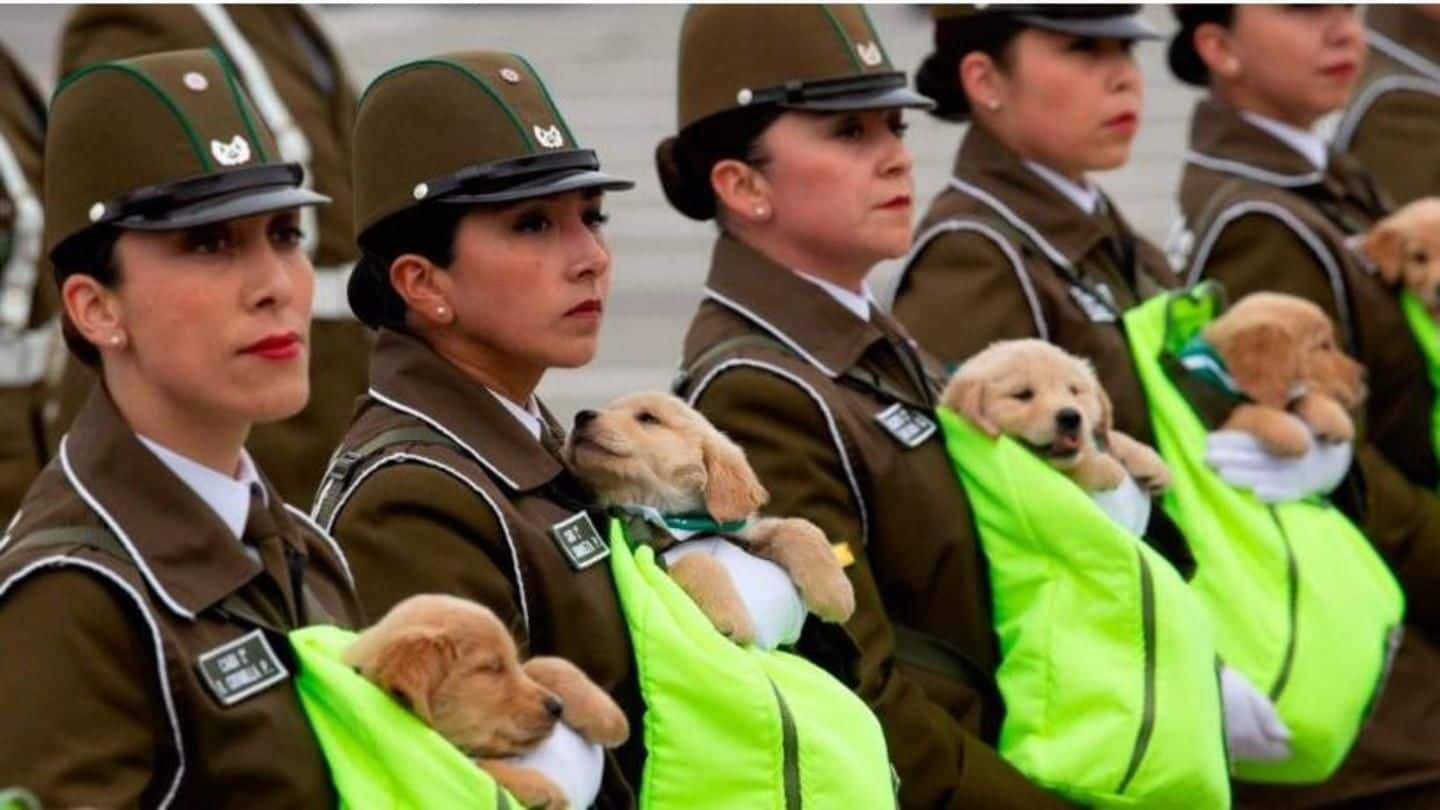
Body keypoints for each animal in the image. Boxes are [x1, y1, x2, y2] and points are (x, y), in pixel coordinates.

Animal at [345, 590, 627, 801]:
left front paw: (610, 719)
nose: (557, 707)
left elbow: (541, 663)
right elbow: (473, 766)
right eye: (491, 668)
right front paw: (538, 788)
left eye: (508, 661)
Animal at [564, 392, 852, 642]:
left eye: (647, 418)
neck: (675, 519)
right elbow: (696, 559)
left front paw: (835, 593)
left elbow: (800, 527)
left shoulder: (743, 535)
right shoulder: (652, 559)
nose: (581, 416)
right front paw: (730, 615)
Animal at [944, 334, 1169, 492]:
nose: (1071, 417)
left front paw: (1152, 463)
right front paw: (1103, 468)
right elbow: (1074, 473)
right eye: (1022, 395)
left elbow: (1110, 436)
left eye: (1073, 390)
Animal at [1203, 289, 1359, 455]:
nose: (1363, 376)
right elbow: (1246, 411)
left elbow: (1302, 396)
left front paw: (1336, 420)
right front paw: (1290, 435)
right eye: (1324, 345)